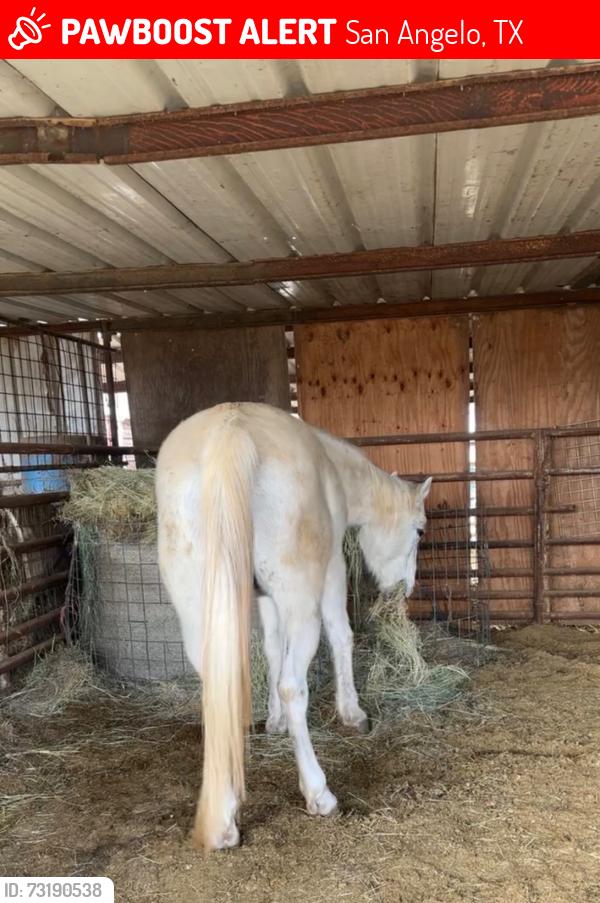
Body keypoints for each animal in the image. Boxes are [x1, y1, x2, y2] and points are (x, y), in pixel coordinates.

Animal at [156, 401, 432, 851]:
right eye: (419, 530)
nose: (404, 587)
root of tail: (230, 432)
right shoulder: (332, 570)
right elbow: (340, 634)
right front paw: (352, 712)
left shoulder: (266, 598)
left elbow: (271, 649)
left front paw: (273, 722)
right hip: (303, 603)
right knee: (293, 686)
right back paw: (319, 794)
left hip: (199, 611)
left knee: (219, 684)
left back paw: (223, 820)